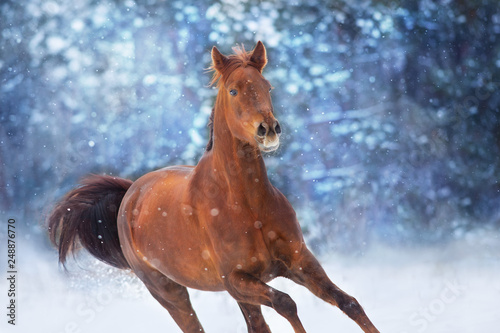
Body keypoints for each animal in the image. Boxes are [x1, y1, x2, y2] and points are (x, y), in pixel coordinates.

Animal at [49, 41, 378, 332]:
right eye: (233, 90)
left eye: (268, 86)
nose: (269, 129)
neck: (248, 205)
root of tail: (130, 193)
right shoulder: (236, 279)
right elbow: (286, 303)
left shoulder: (298, 261)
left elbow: (348, 303)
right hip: (171, 293)